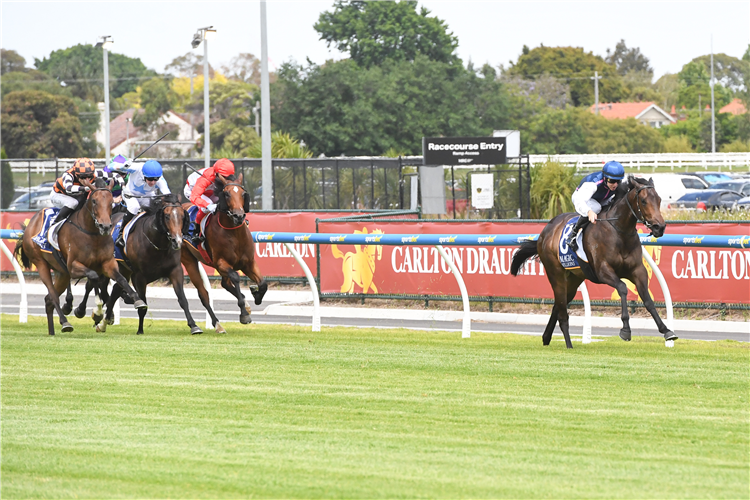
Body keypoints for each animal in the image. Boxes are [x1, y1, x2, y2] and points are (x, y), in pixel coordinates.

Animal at [14, 177, 147, 336]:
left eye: (110, 202)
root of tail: (31, 224)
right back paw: (65, 322)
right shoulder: (73, 267)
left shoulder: (108, 263)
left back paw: (52, 331)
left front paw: (137, 300)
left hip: (62, 273)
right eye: (94, 201)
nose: (105, 226)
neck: (92, 233)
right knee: (53, 296)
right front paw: (96, 311)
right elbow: (94, 277)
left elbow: (120, 279)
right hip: (41, 264)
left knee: (48, 300)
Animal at [97, 193, 214, 334]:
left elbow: (182, 299)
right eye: (167, 216)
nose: (177, 241)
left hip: (124, 270)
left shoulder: (175, 270)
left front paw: (194, 326)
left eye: (182, 216)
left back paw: (105, 321)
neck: (156, 244)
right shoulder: (139, 277)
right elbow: (143, 304)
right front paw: (140, 330)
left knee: (115, 290)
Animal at [181, 172, 268, 324]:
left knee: (224, 284)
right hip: (188, 260)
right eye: (226, 194)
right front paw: (244, 313)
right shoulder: (221, 263)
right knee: (206, 291)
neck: (235, 234)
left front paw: (256, 295)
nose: (238, 216)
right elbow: (235, 277)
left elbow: (263, 283)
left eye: (243, 193)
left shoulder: (249, 262)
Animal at [516, 175, 680, 348]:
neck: (618, 231)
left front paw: (666, 330)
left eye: (659, 200)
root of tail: (544, 232)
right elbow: (622, 288)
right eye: (643, 201)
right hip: (556, 274)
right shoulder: (603, 271)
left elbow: (647, 299)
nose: (659, 227)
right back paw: (568, 344)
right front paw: (625, 329)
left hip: (574, 279)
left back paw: (546, 337)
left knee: (558, 305)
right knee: (562, 311)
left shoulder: (637, 270)